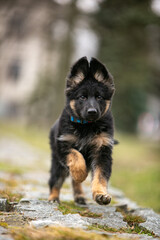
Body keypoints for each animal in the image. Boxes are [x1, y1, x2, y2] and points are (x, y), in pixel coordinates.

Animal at [48, 56, 115, 204]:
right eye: (82, 97)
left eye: (99, 97)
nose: (92, 112)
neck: (86, 126)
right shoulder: (63, 145)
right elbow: (76, 156)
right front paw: (80, 174)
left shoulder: (102, 151)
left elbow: (100, 176)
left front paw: (100, 195)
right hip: (57, 163)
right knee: (55, 180)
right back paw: (53, 198)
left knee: (73, 182)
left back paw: (79, 196)